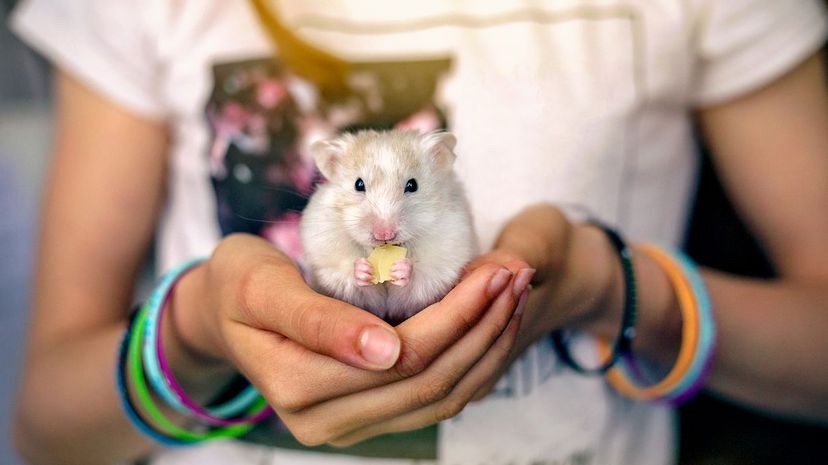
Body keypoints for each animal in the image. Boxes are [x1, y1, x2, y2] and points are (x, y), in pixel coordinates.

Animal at [300, 128, 478, 322]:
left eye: (413, 185)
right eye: (358, 184)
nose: (384, 235)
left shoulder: (444, 262)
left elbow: (419, 279)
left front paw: (402, 269)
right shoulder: (328, 263)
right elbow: (350, 280)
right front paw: (363, 269)